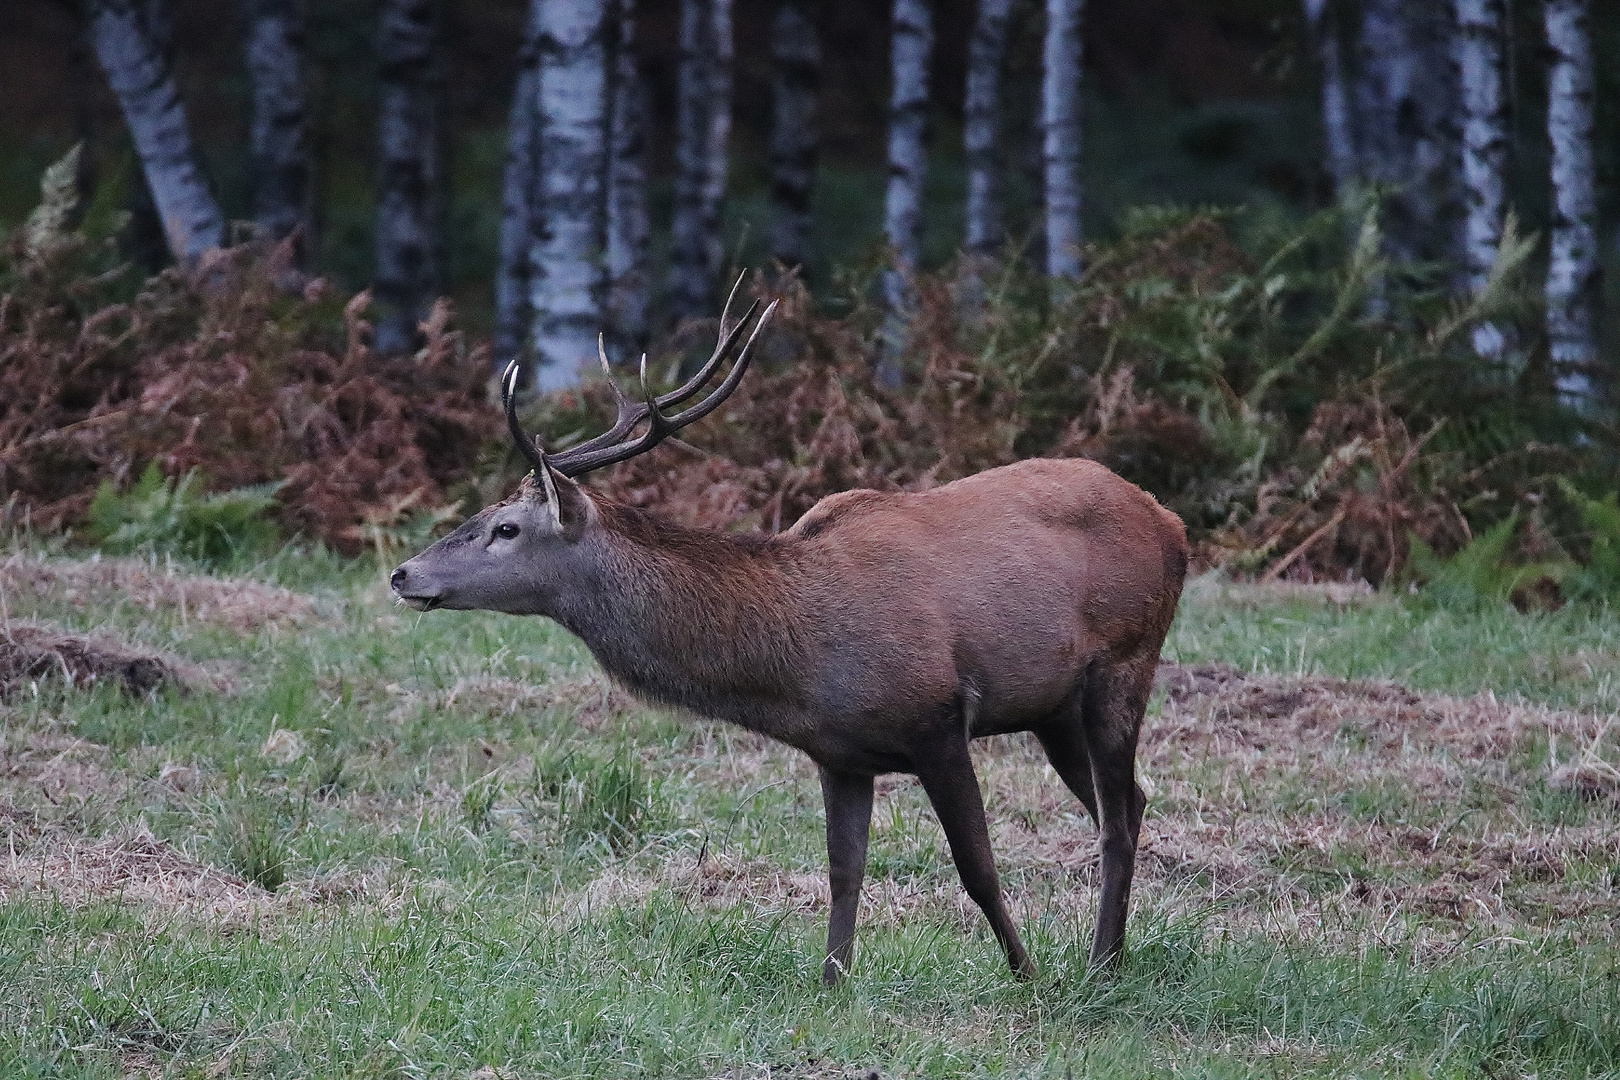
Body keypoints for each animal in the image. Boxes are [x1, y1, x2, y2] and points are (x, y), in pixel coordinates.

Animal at [392, 291, 1192, 984]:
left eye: (505, 528)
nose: (403, 573)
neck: (799, 661)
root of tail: (1172, 524)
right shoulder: (840, 754)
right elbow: (844, 873)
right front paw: (833, 985)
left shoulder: (938, 715)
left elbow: (977, 867)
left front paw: (1026, 975)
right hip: (1052, 708)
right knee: (1128, 802)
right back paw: (1114, 956)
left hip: (1127, 659)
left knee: (1116, 817)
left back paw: (1097, 966)